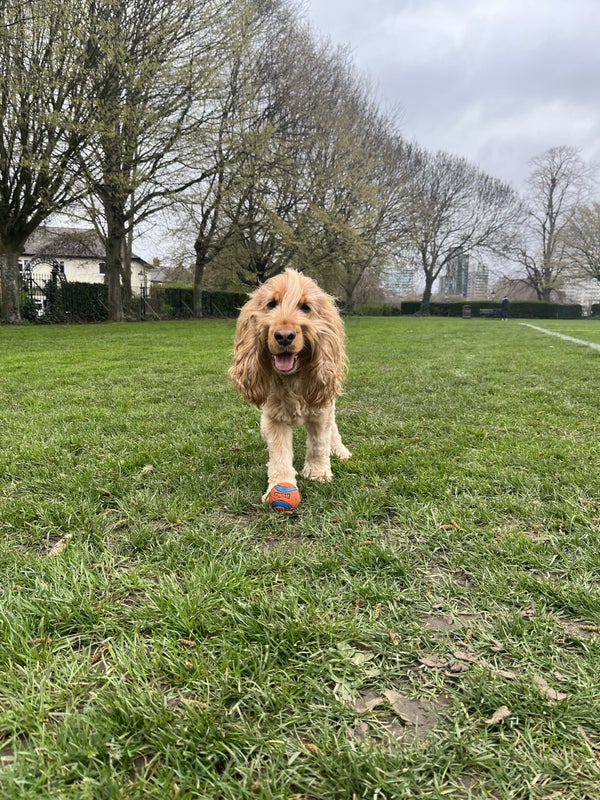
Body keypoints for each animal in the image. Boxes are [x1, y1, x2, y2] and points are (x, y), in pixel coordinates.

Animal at [229, 269, 351, 501]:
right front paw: (280, 484)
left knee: (334, 430)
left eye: (305, 307)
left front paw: (318, 473)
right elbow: (279, 454)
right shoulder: (274, 418)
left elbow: (319, 444)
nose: (284, 336)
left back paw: (341, 452)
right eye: (271, 304)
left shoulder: (321, 410)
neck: (293, 378)